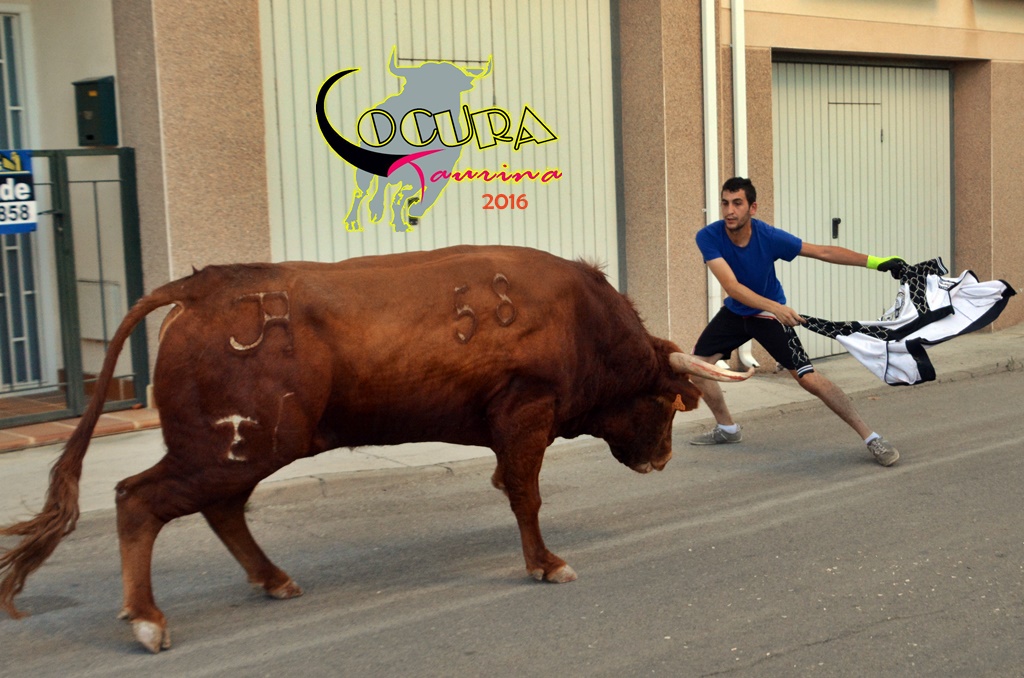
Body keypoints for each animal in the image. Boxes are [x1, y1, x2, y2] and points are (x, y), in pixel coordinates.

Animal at [0, 245, 751, 653]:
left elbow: (515, 491)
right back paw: (149, 620)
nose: (661, 459)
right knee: (138, 499)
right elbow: (526, 495)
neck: (582, 321)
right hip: (231, 449)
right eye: (667, 401)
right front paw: (546, 564)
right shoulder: (524, 414)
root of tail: (207, 284)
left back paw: (273, 580)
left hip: (245, 450)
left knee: (222, 510)